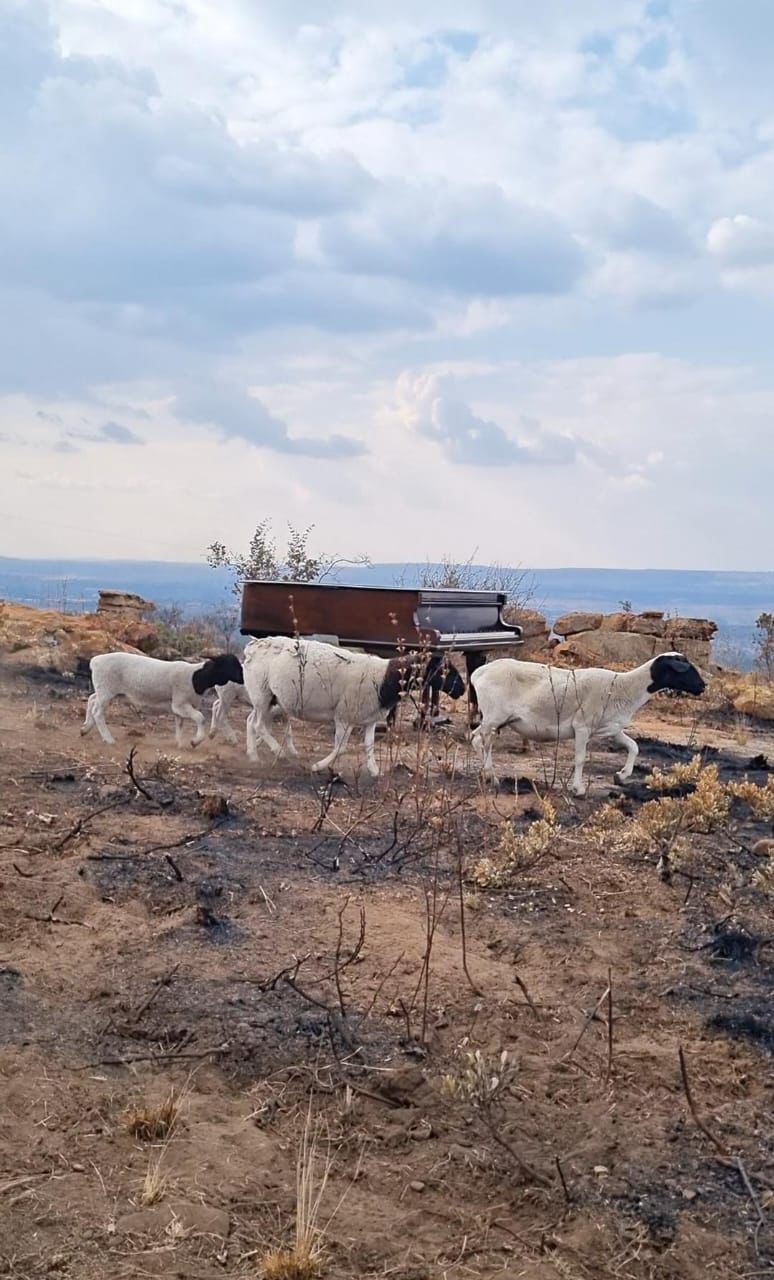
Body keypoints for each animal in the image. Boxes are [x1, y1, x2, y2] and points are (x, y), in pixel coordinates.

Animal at [81, 652, 244, 748]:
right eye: (229, 665)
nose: (243, 679)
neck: (197, 677)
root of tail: (95, 660)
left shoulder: (180, 706)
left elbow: (180, 723)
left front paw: (180, 743)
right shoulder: (179, 703)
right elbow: (200, 718)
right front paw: (195, 741)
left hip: (104, 690)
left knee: (92, 699)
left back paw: (85, 728)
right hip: (106, 689)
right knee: (97, 711)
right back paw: (108, 739)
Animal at [242, 636, 465, 777]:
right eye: (444, 669)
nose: (462, 689)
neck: (384, 679)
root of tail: (252, 646)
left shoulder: (369, 719)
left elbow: (369, 746)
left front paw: (374, 771)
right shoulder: (344, 716)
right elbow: (340, 748)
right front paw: (317, 766)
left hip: (270, 698)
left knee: (251, 721)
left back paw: (253, 755)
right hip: (262, 693)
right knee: (258, 724)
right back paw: (278, 751)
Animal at [470, 651, 706, 795]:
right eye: (685, 668)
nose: (703, 686)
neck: (625, 687)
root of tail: (478, 673)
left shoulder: (612, 728)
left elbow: (634, 747)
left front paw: (621, 775)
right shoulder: (582, 726)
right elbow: (580, 759)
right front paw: (578, 789)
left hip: (496, 719)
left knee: (475, 739)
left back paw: (486, 775)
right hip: (494, 716)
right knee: (482, 741)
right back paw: (492, 777)